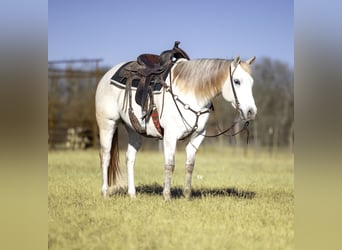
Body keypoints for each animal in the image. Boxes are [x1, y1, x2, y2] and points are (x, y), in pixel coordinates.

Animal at [95, 48, 256, 201]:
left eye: (252, 83)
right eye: (237, 81)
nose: (251, 111)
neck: (191, 93)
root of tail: (107, 76)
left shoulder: (198, 135)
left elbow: (190, 165)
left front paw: (187, 195)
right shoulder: (170, 136)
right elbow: (170, 165)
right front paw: (167, 196)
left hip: (134, 130)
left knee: (130, 158)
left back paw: (132, 194)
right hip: (107, 124)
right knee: (105, 156)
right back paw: (104, 192)